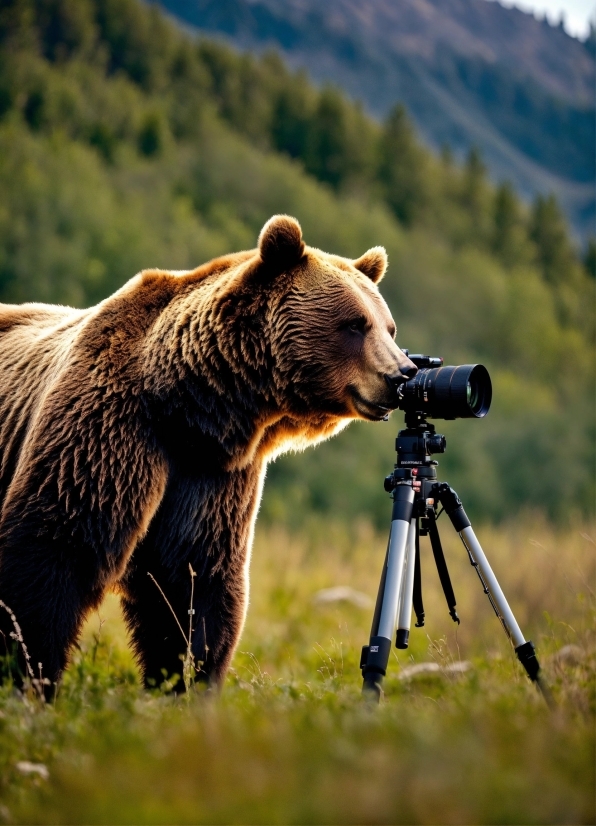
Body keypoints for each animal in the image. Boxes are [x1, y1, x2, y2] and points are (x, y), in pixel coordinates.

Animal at [0, 216, 414, 692]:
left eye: (389, 327)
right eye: (354, 324)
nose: (401, 374)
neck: (186, 409)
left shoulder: (212, 475)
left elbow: (196, 583)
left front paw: (185, 681)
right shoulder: (107, 431)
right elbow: (53, 550)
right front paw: (28, 676)